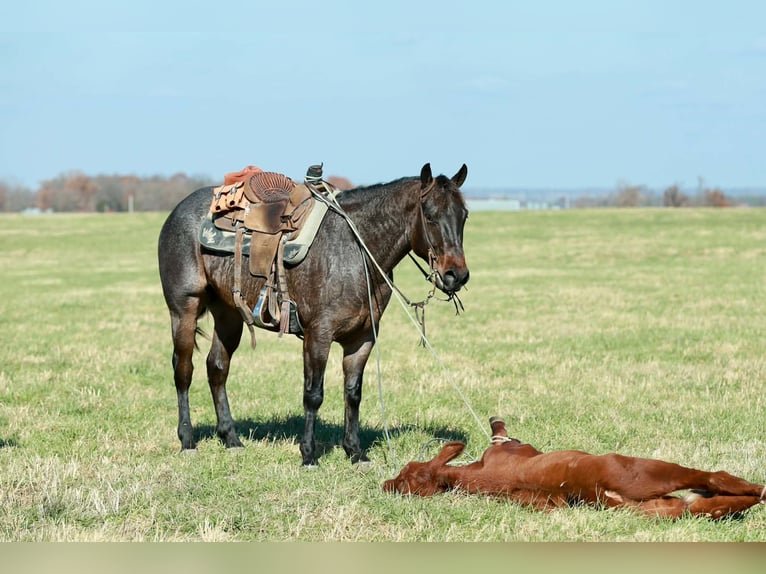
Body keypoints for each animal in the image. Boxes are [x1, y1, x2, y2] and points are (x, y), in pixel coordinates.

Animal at [158, 163, 470, 465]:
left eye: (464, 215)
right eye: (429, 215)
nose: (456, 275)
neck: (354, 250)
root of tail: (178, 211)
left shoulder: (363, 338)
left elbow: (353, 392)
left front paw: (355, 451)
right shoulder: (318, 334)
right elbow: (313, 394)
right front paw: (308, 454)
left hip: (228, 314)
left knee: (217, 367)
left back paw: (231, 439)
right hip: (184, 310)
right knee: (183, 370)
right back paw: (187, 441)